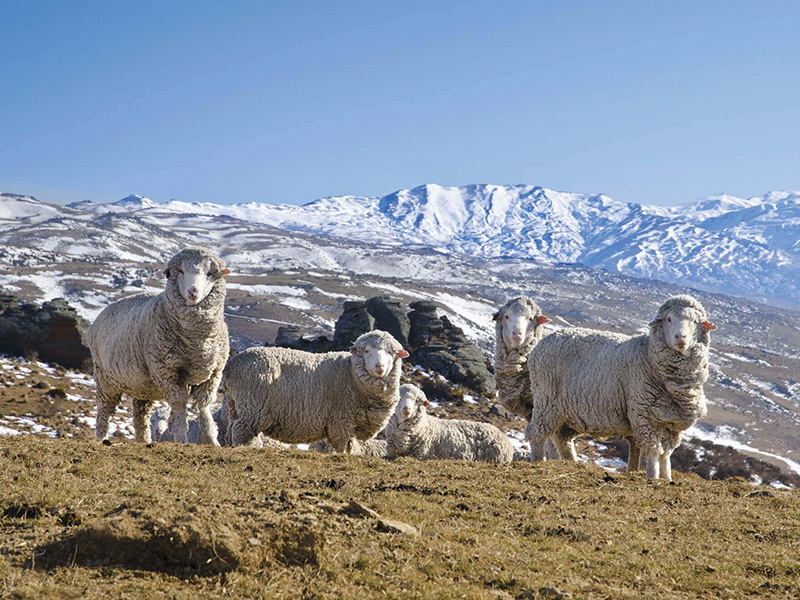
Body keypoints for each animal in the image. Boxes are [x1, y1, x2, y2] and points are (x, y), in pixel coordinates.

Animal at [85, 247, 230, 445]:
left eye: (209, 273)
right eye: (181, 271)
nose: (193, 292)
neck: (196, 342)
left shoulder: (212, 374)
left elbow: (204, 408)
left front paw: (212, 441)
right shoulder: (168, 372)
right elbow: (179, 406)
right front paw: (182, 439)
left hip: (141, 386)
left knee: (140, 415)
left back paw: (144, 441)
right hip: (105, 378)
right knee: (104, 410)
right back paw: (102, 438)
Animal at [223, 330, 408, 451]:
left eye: (391, 352)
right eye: (367, 351)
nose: (380, 366)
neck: (351, 373)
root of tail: (231, 365)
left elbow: (350, 447)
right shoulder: (341, 420)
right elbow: (341, 447)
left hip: (235, 405)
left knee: (231, 429)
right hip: (252, 407)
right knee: (240, 430)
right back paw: (245, 449)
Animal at [525, 295, 716, 480]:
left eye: (695, 321)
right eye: (669, 319)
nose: (680, 337)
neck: (649, 356)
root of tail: (541, 344)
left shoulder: (672, 423)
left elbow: (666, 455)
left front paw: (667, 478)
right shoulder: (643, 414)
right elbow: (653, 452)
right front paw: (653, 478)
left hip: (568, 411)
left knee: (562, 438)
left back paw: (572, 463)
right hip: (546, 399)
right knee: (536, 433)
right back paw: (538, 461)